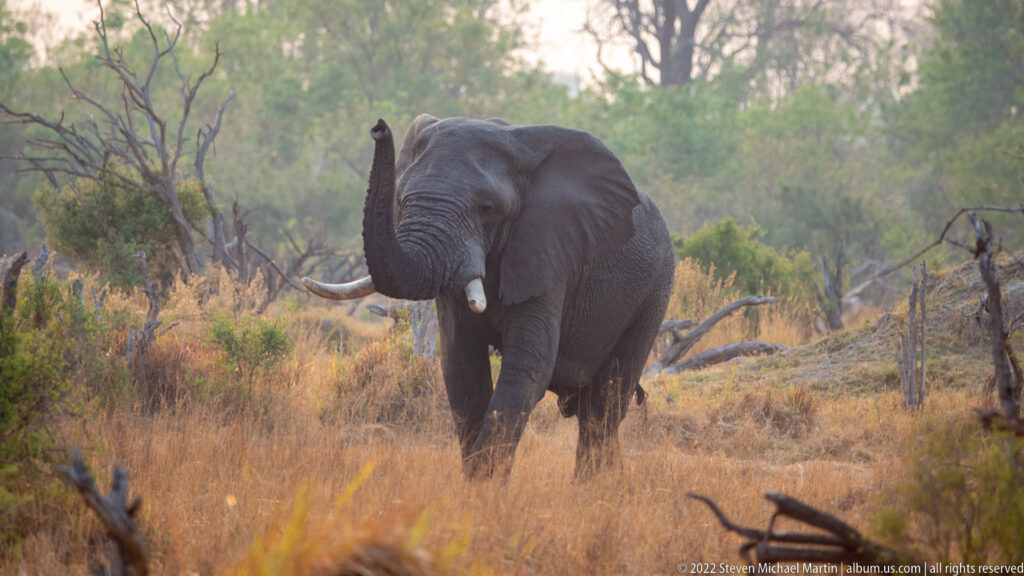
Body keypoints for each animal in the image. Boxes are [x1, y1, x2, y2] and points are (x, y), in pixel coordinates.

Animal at [303, 115, 675, 480]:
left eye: (487, 208)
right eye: (401, 201)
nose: (378, 128)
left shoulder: (548, 253)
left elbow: (526, 370)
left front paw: (486, 490)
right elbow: (461, 368)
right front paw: (475, 490)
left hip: (655, 290)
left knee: (605, 406)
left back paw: (593, 490)